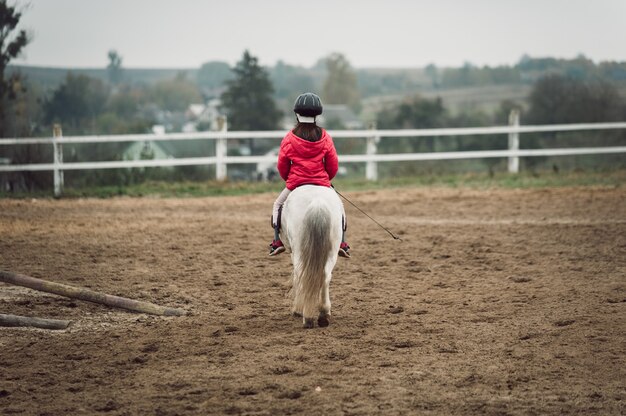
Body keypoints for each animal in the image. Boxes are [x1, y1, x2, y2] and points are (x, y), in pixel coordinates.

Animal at [280, 185, 344, 328]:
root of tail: (317, 203)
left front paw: (297, 310)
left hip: (298, 250)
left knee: (301, 274)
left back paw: (307, 317)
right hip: (332, 250)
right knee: (325, 276)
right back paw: (324, 315)